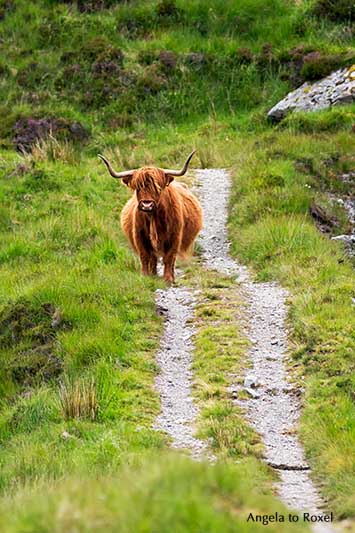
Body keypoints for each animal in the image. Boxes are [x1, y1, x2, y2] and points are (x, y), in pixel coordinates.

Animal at [98, 151, 203, 282]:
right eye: (138, 187)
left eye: (158, 188)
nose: (146, 204)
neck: (153, 219)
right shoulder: (139, 237)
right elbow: (145, 256)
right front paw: (145, 276)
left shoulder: (175, 237)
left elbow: (169, 257)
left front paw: (168, 278)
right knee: (153, 259)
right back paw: (153, 274)